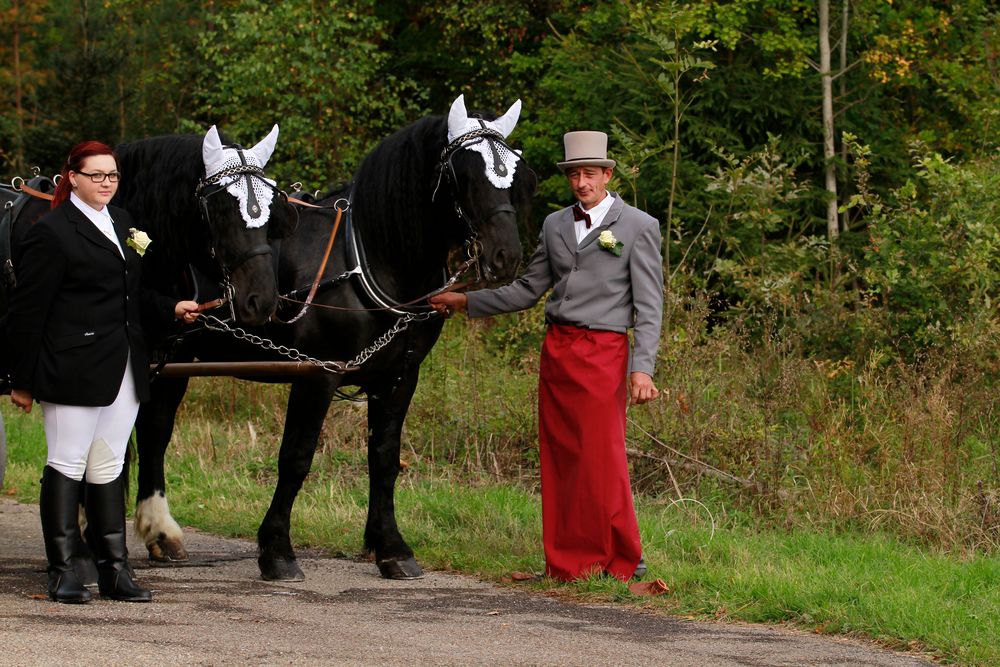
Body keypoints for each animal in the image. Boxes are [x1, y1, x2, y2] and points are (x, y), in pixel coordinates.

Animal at [137, 94, 536, 580]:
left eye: (516, 173)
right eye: (463, 173)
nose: (506, 255)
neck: (369, 259)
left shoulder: (399, 377)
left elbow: (384, 457)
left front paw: (391, 547)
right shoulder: (317, 375)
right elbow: (296, 457)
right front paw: (277, 551)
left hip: (174, 362)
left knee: (154, 431)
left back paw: (160, 535)